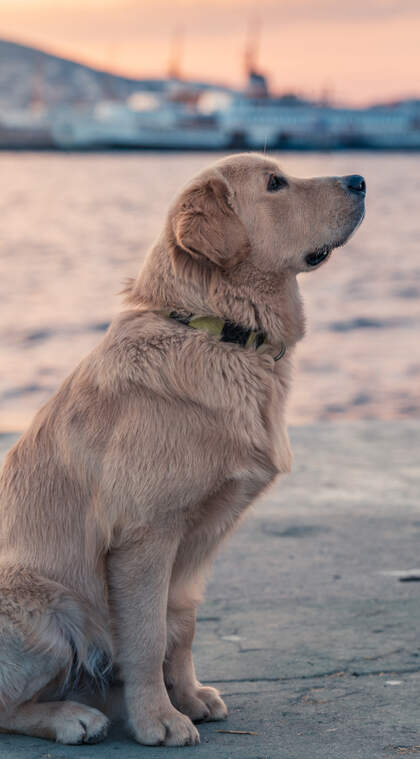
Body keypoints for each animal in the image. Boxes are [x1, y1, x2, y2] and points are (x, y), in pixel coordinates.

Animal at [0, 154, 366, 748]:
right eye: (275, 184)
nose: (360, 181)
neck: (217, 331)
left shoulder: (196, 546)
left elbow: (182, 626)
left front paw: (188, 697)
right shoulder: (146, 535)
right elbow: (148, 637)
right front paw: (158, 719)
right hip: (45, 607)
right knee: (7, 703)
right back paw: (73, 716)